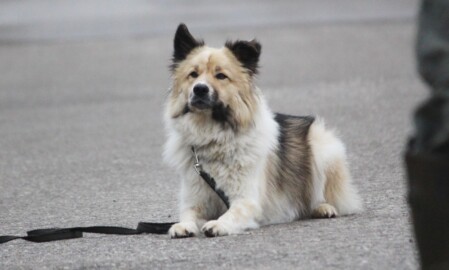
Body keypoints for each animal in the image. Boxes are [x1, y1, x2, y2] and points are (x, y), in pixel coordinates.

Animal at [164, 23, 360, 238]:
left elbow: (233, 213)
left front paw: (219, 224)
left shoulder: (247, 200)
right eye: (193, 74)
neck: (213, 136)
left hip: (321, 146)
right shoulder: (196, 200)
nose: (199, 89)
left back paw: (323, 207)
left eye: (221, 76)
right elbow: (188, 213)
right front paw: (183, 225)